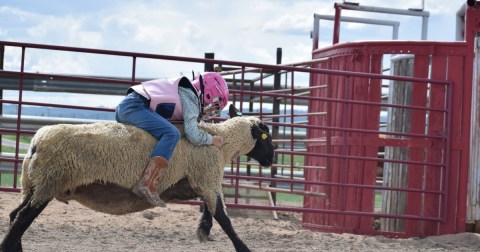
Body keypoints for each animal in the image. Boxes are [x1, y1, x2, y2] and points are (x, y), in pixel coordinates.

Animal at [0, 105, 274, 252]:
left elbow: (212, 209)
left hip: (34, 185)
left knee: (15, 216)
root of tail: (35, 143)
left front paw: (203, 230)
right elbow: (224, 218)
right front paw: (243, 247)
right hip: (49, 182)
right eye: (265, 136)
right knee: (21, 219)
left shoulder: (200, 180)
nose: (271, 160)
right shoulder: (206, 176)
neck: (222, 142)